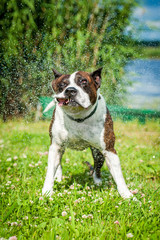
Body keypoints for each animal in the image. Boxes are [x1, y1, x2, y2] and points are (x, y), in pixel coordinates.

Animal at [42, 68, 133, 199]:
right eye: (62, 84)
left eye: (83, 81)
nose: (70, 90)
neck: (78, 117)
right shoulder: (56, 146)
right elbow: (50, 170)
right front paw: (46, 191)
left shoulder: (109, 150)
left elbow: (119, 176)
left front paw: (128, 196)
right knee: (58, 164)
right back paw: (58, 177)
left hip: (97, 152)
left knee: (97, 167)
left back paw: (97, 181)